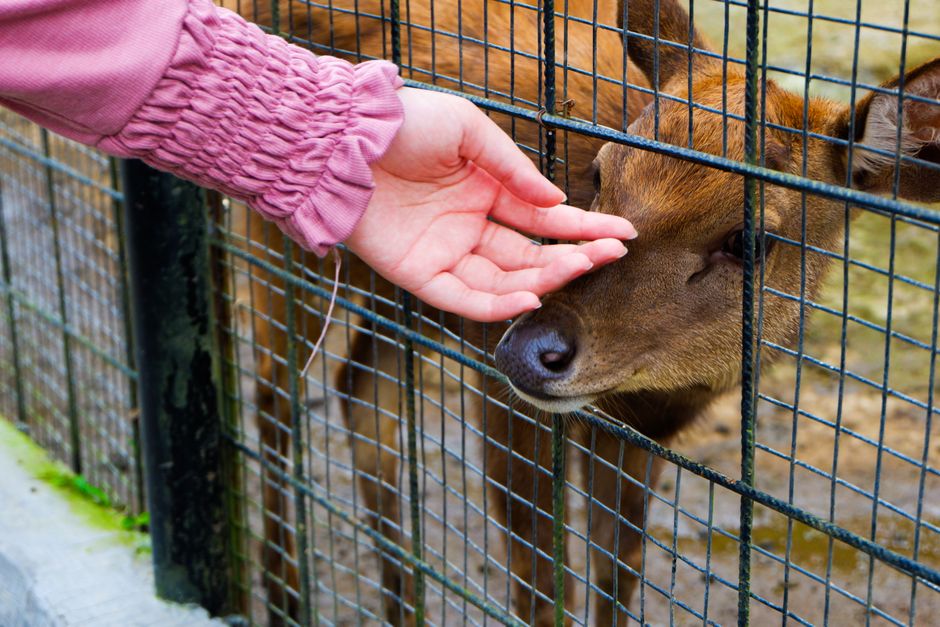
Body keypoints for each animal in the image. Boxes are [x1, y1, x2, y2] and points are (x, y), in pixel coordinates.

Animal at [229, 0, 940, 624]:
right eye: (602, 172)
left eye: (752, 240)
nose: (528, 348)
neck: (651, 394)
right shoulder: (502, 387)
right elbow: (543, 580)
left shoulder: (643, 431)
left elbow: (616, 572)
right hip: (280, 237)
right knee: (275, 397)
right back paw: (283, 594)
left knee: (358, 388)